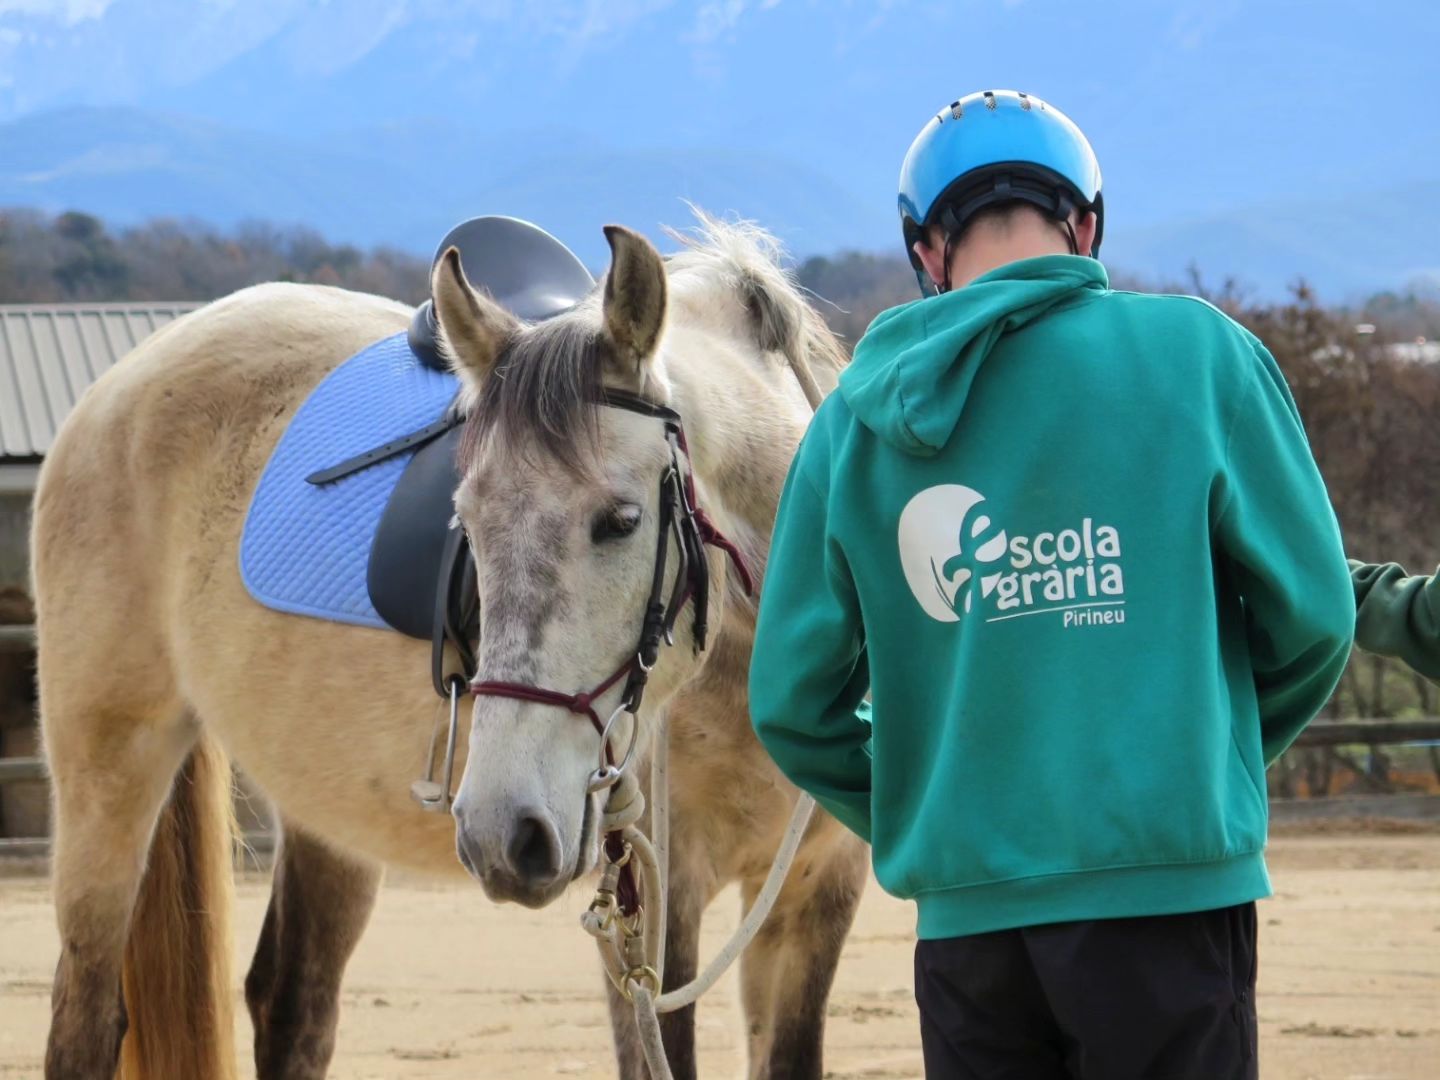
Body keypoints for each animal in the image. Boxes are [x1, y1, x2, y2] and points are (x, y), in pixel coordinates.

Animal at [33, 213, 864, 1080]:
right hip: (109, 768)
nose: (504, 832)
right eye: (465, 521)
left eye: (623, 521)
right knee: (87, 1016)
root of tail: (124, 380)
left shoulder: (814, 895)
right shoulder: (650, 903)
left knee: (290, 1005)